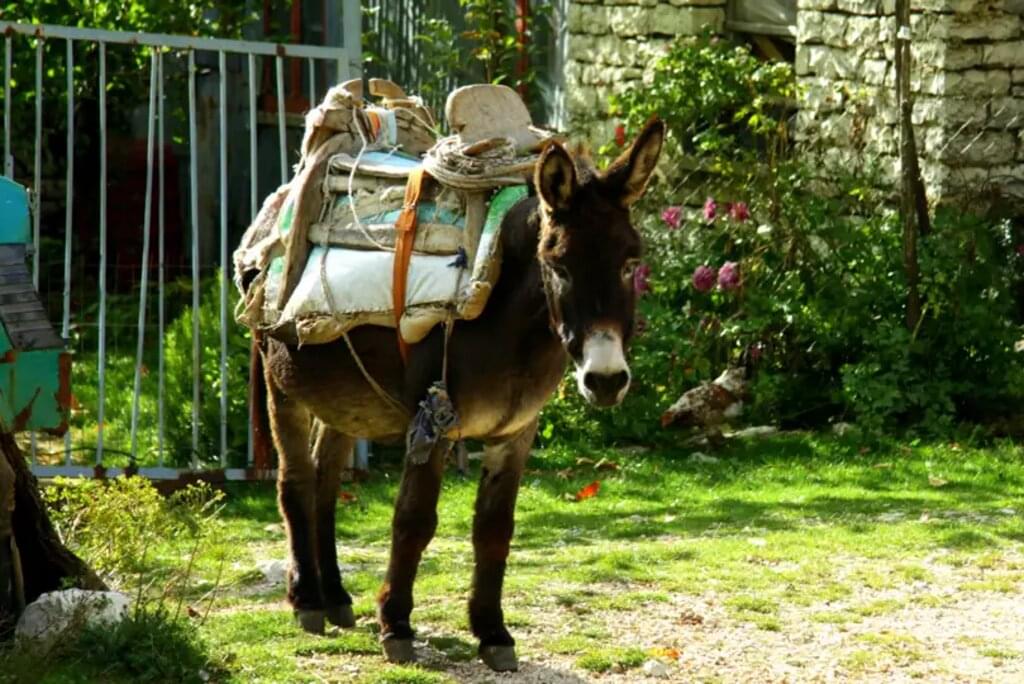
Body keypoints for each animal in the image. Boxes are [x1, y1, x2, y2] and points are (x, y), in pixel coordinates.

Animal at [257, 118, 665, 672]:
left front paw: (493, 633)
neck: (513, 326)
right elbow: (413, 520)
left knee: (325, 482)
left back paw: (337, 596)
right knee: (295, 480)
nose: (605, 380)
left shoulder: (515, 431)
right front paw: (396, 624)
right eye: (558, 265)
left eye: (630, 262)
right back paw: (307, 601)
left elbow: (494, 529)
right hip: (281, 381)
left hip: (347, 404)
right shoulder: (432, 421)